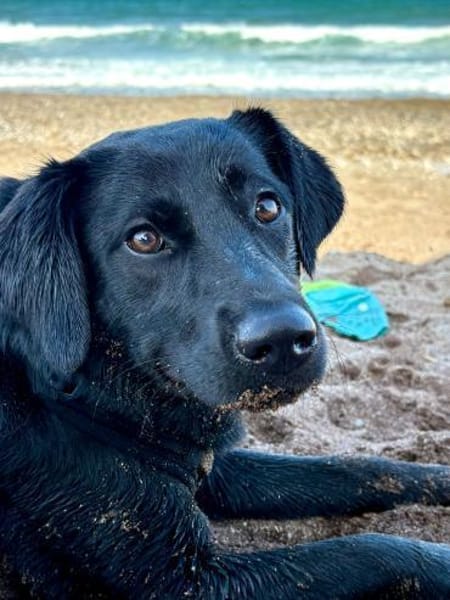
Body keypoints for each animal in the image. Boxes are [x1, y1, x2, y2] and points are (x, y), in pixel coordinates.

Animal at [0, 108, 449, 599]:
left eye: (268, 207)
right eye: (143, 239)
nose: (283, 340)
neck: (71, 394)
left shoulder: (212, 469)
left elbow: (353, 468)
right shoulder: (181, 582)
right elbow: (372, 550)